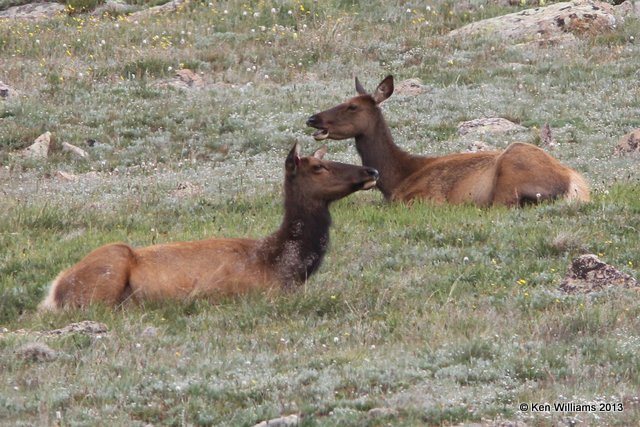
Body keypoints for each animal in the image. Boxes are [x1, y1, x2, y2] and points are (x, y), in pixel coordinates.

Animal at [306, 76, 592, 208]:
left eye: (352, 106)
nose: (312, 119)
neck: (396, 178)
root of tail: (573, 185)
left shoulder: (426, 199)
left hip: (510, 176)